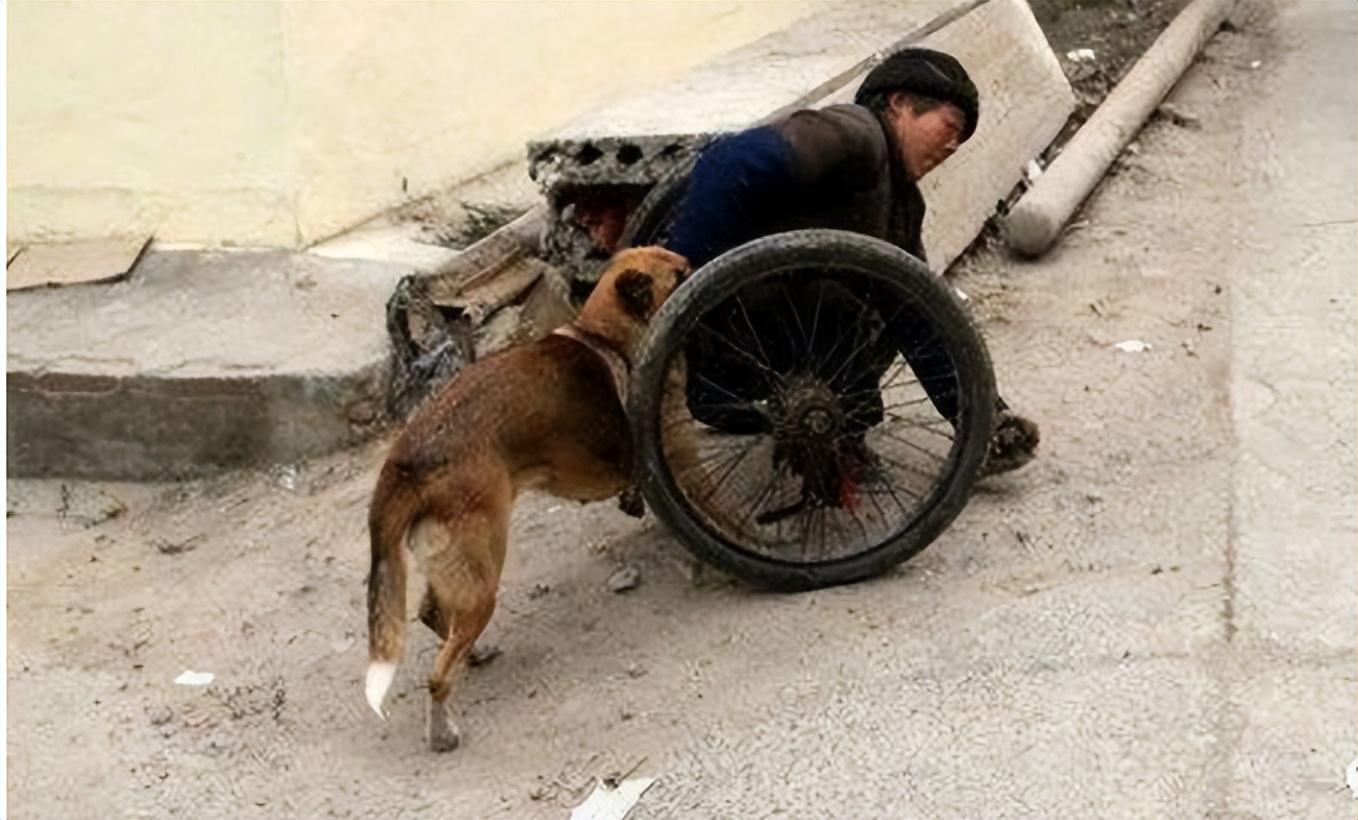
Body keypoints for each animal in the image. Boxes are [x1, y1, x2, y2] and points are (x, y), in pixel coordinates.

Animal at [363, 243, 689, 749]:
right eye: (680, 275)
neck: (601, 334)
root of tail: (406, 461)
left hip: (454, 566)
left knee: (432, 614)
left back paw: (474, 655)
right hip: (482, 567)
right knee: (438, 673)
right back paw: (443, 731)